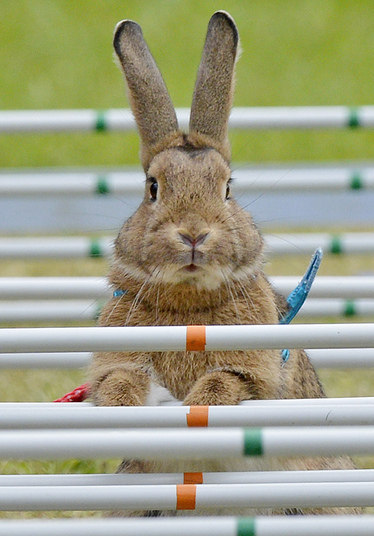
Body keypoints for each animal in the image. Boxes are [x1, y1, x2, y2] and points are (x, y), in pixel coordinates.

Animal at [89, 10, 360, 516]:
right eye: (152, 188)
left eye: (228, 188)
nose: (194, 233)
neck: (188, 302)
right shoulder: (115, 360)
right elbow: (117, 382)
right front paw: (124, 412)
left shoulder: (255, 372)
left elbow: (224, 383)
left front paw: (194, 405)